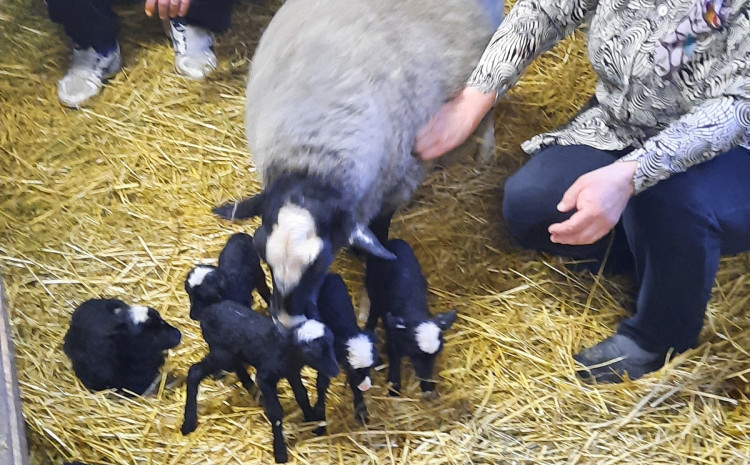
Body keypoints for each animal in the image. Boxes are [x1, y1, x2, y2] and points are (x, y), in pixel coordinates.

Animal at [181, 268, 340, 460]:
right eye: (313, 353)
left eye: (331, 344)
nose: (335, 371)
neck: (285, 349)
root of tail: (209, 308)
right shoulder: (266, 376)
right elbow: (276, 413)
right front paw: (280, 453)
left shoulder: (292, 372)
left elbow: (302, 395)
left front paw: (310, 417)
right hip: (221, 353)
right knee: (195, 371)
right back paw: (188, 423)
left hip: (232, 350)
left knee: (237, 366)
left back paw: (250, 387)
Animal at [213, 0, 506, 326]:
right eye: (261, 250)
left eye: (320, 263)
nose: (288, 322)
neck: (312, 160)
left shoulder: (393, 185)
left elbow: (379, 239)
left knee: (487, 102)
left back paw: (485, 152)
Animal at [314, 274, 378, 426]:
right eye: (354, 368)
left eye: (370, 367)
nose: (366, 386)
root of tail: (330, 275)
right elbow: (322, 384)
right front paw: (319, 416)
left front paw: (361, 410)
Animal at [366, 241, 458, 396]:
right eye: (415, 355)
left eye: (436, 355)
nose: (425, 377)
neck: (413, 310)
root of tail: (392, 242)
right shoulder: (393, 337)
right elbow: (394, 358)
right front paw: (394, 387)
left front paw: (427, 387)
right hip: (373, 287)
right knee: (373, 311)